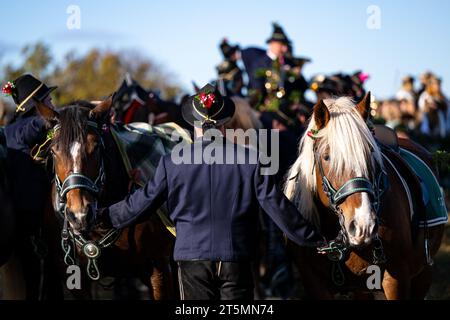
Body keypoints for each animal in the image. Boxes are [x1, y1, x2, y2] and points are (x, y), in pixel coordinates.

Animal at [286, 94, 444, 298]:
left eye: (370, 153)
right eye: (327, 157)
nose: (363, 225)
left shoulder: (397, 278)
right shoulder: (314, 283)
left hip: (424, 273)